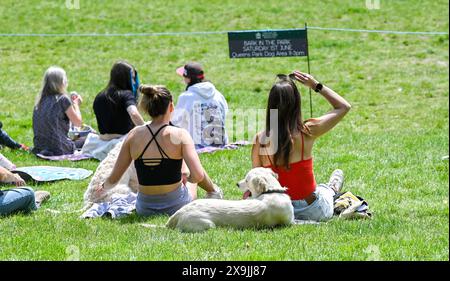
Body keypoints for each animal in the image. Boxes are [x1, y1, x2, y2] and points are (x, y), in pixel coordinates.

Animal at [166, 167, 296, 231]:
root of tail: (178, 213)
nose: (237, 184)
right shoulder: (289, 222)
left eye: (246, 180)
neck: (272, 191)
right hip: (208, 224)